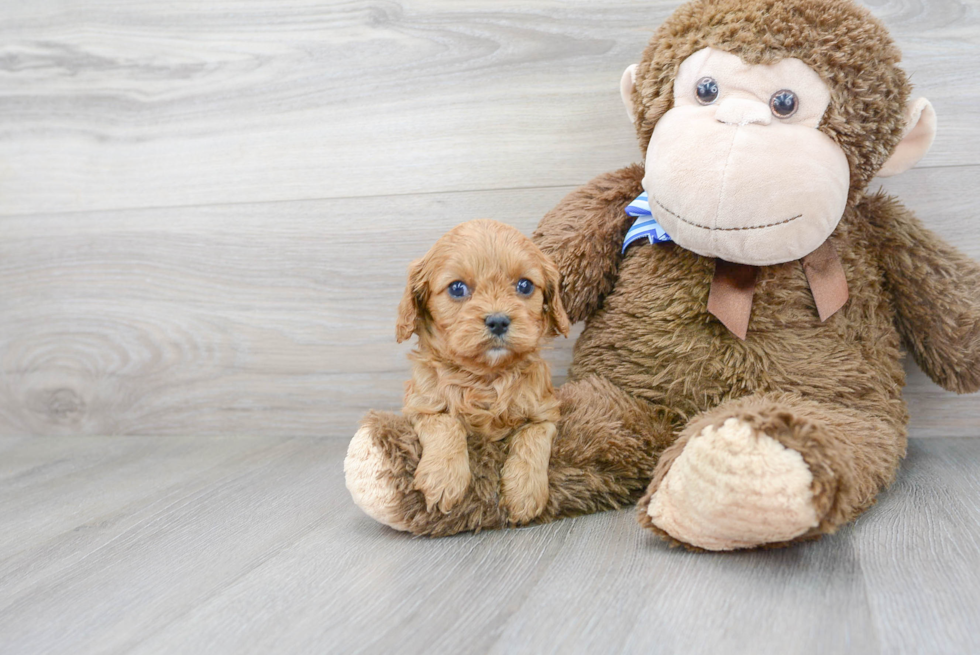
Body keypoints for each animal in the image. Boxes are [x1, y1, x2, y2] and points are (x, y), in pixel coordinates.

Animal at [394, 219, 572, 524]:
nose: (498, 321)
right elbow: (446, 423)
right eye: (457, 288)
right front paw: (443, 477)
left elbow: (532, 438)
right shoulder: (421, 406)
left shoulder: (546, 413)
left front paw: (524, 492)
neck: (487, 377)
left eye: (525, 285)